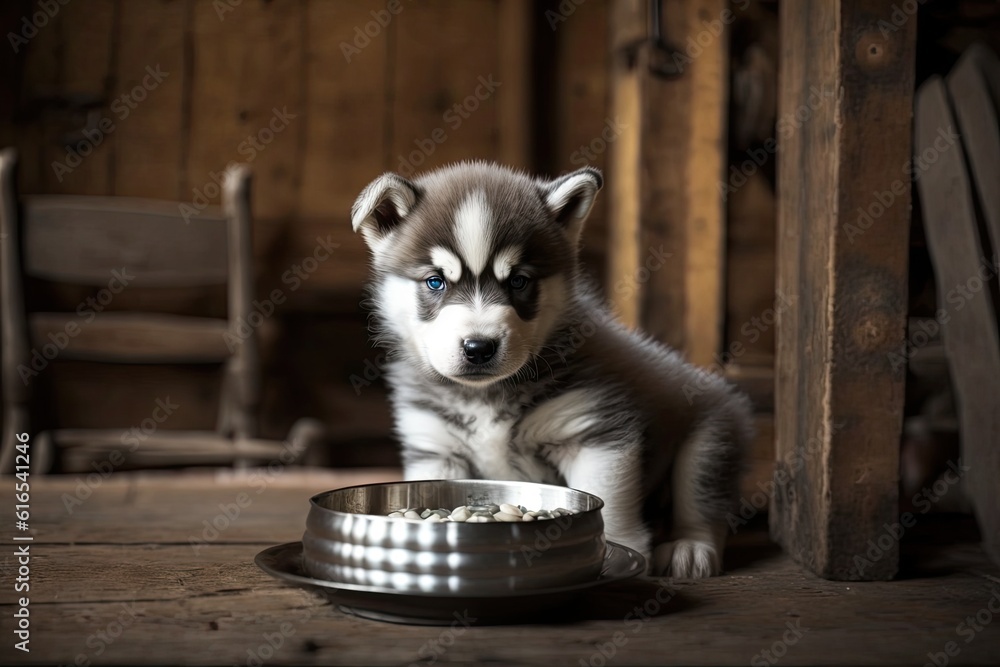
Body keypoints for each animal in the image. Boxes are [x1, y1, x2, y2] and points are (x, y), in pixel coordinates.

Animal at [352, 162, 752, 580]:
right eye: (435, 281)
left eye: (519, 281)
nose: (479, 348)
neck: (484, 395)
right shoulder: (436, 450)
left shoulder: (597, 436)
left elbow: (611, 503)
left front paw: (617, 550)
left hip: (710, 434)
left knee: (702, 499)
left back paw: (690, 547)